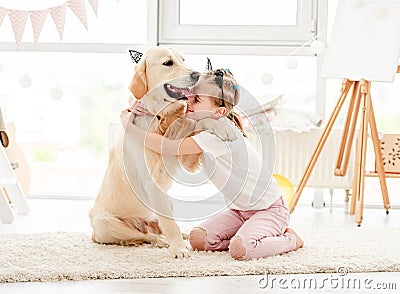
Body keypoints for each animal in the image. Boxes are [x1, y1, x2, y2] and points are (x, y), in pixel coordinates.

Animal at [89, 46, 236, 258]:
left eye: (183, 60)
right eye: (168, 63)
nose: (196, 74)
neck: (160, 116)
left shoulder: (183, 154)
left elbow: (200, 121)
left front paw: (223, 126)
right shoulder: (152, 183)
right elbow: (169, 223)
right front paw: (179, 249)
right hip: (107, 223)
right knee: (144, 236)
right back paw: (162, 241)